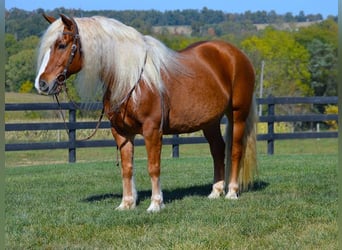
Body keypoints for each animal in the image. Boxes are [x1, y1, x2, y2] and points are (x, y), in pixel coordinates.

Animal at [36, 14, 258, 213]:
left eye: (62, 45)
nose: (42, 83)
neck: (131, 79)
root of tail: (236, 55)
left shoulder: (152, 130)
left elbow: (153, 166)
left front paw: (155, 204)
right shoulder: (121, 132)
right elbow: (127, 168)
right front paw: (126, 204)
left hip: (238, 114)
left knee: (235, 150)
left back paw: (231, 192)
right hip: (209, 122)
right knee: (218, 150)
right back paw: (216, 191)